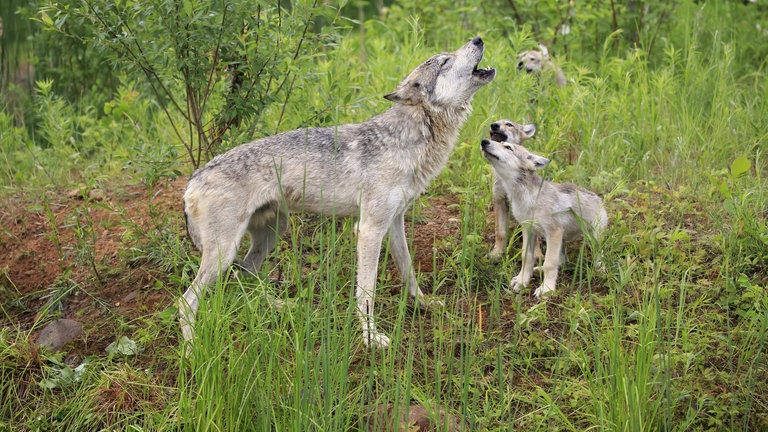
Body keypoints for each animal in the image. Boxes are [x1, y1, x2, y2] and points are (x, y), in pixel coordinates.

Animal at [177, 37, 496, 352]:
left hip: (271, 234)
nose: (479, 38)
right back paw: (193, 350)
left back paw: (280, 305)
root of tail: (193, 179)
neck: (408, 140)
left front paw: (423, 304)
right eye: (444, 61)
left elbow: (409, 272)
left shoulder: (394, 224)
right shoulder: (368, 230)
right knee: (187, 300)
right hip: (225, 252)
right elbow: (366, 292)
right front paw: (370, 337)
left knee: (244, 276)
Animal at [480, 139, 608, 300]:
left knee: (598, 255)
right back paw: (538, 270)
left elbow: (549, 263)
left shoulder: (554, 231)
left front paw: (547, 289)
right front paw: (522, 281)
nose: (484, 141)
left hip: (593, 237)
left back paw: (600, 269)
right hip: (559, 240)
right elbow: (527, 257)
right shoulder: (529, 230)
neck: (527, 196)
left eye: (508, 147)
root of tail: (599, 198)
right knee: (563, 261)